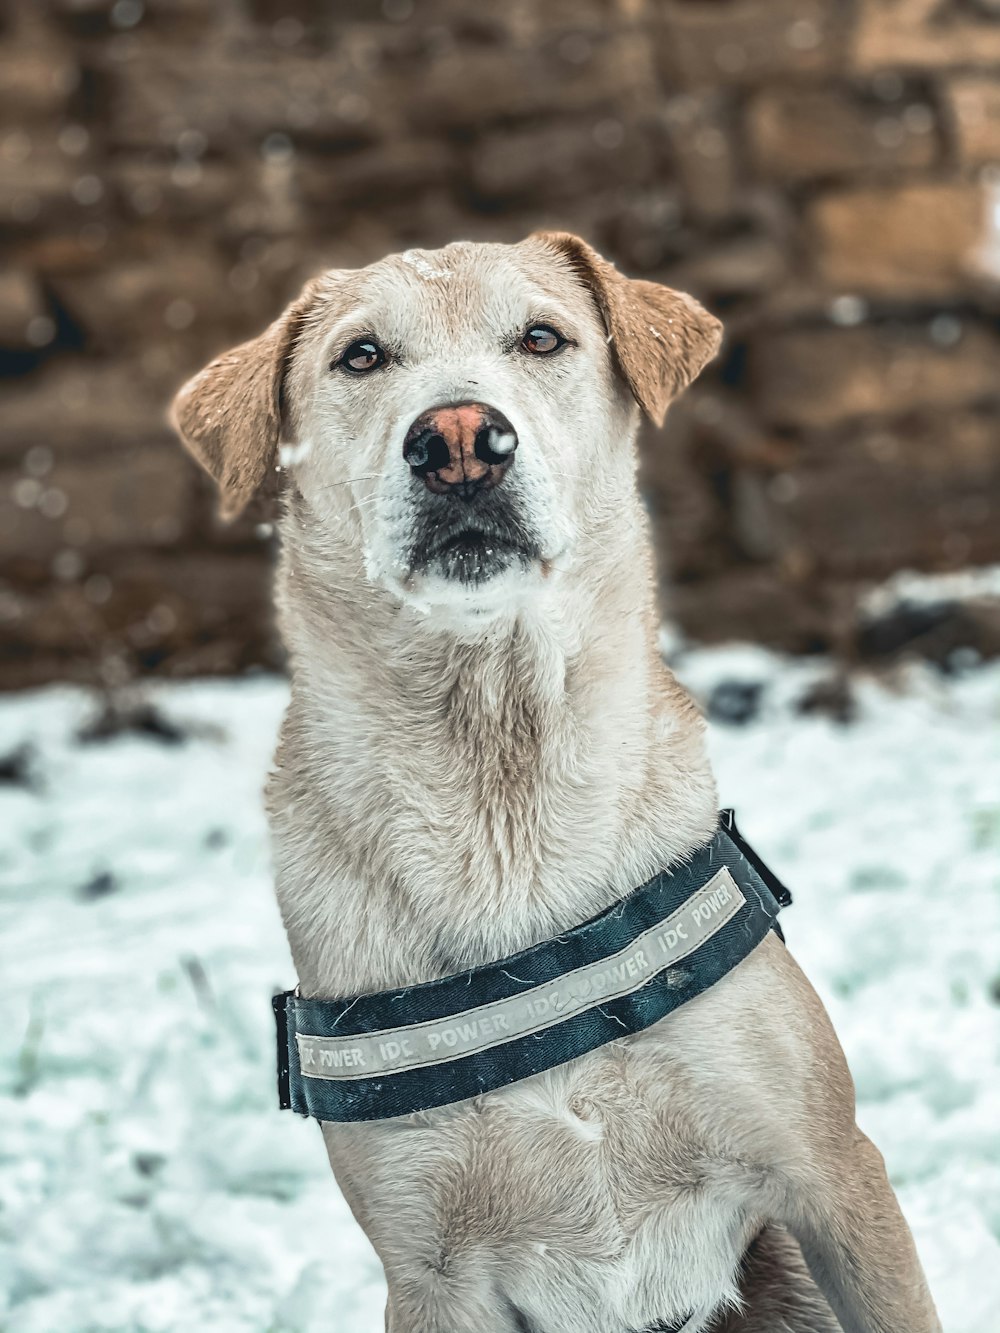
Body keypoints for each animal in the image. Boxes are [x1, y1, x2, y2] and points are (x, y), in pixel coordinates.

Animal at [170, 237, 938, 1333]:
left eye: (541, 337)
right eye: (361, 356)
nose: (458, 439)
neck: (501, 779)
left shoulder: (832, 1175)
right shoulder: (430, 1270)